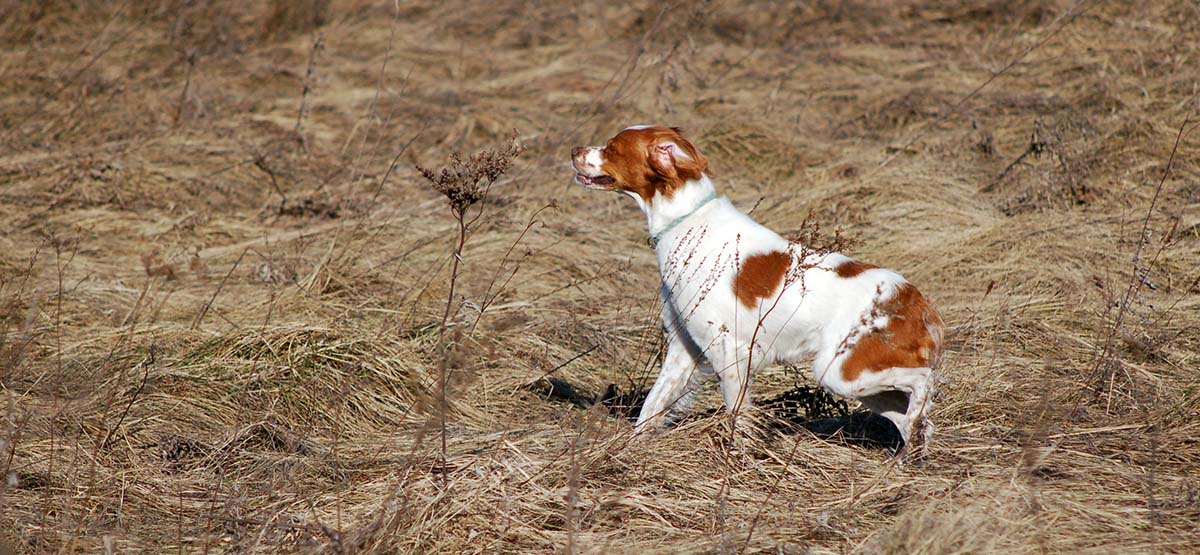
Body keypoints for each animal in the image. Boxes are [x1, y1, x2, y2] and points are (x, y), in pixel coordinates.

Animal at [571, 126, 945, 454]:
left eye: (612, 147)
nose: (574, 150)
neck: (687, 221)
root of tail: (915, 300)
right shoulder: (684, 348)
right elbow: (651, 407)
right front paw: (624, 454)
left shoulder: (728, 351)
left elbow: (737, 414)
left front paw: (735, 462)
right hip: (855, 377)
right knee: (910, 419)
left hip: (841, 371)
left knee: (922, 383)